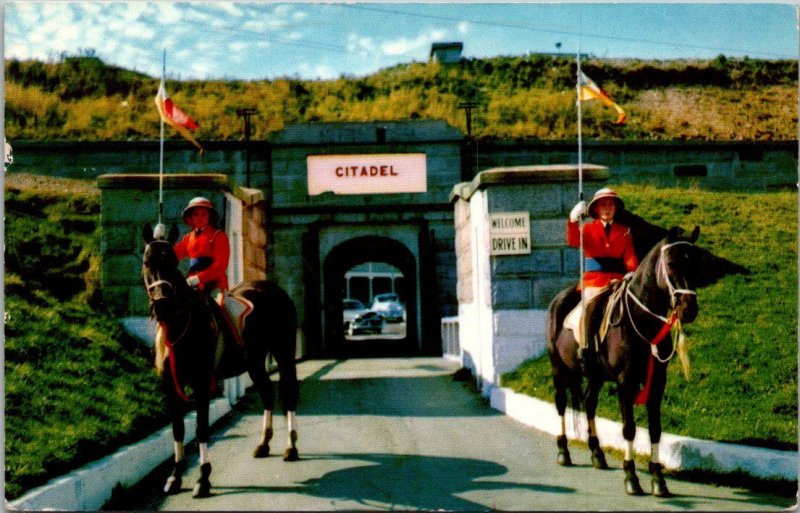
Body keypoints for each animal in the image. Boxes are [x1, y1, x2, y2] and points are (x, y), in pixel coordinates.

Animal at [141, 224, 300, 496]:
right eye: (147, 261)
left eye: (172, 262)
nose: (162, 305)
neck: (181, 326)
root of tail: (274, 289)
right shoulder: (170, 387)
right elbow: (178, 429)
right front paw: (175, 477)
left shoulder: (202, 383)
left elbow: (201, 428)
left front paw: (203, 479)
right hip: (255, 362)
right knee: (268, 392)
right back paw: (263, 443)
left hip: (284, 354)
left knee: (288, 394)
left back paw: (291, 447)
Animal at [552, 225, 700, 496]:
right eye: (671, 263)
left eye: (696, 263)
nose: (689, 309)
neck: (643, 319)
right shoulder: (625, 381)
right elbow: (629, 428)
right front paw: (631, 477)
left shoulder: (657, 381)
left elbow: (655, 429)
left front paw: (658, 480)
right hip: (558, 369)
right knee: (560, 404)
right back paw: (563, 451)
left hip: (596, 376)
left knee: (589, 403)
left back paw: (597, 454)